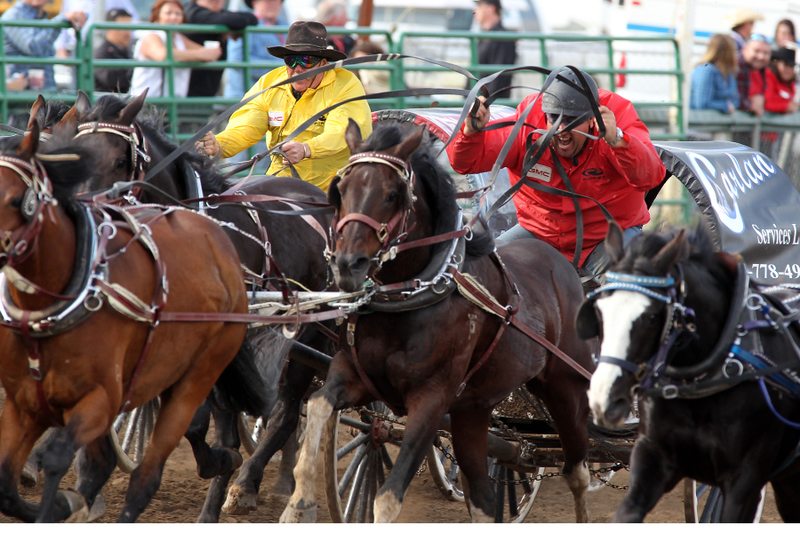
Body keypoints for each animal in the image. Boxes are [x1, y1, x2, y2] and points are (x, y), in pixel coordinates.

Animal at [58, 90, 334, 520]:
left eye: (120, 160)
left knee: (286, 412)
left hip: (313, 338)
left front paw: (222, 466)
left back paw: (252, 483)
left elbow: (201, 422)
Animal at [280, 119, 592, 520]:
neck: (411, 298)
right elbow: (319, 405)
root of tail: (560, 263)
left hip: (565, 389)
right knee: (483, 498)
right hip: (472, 411)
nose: (348, 264)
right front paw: (297, 505)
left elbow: (388, 496)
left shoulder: (431, 400)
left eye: (392, 195)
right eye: (341, 190)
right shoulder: (354, 375)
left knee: (577, 472)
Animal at [580, 222, 800, 520]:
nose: (603, 399)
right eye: (600, 312)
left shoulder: (745, 480)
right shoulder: (652, 457)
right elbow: (627, 513)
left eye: (651, 316)